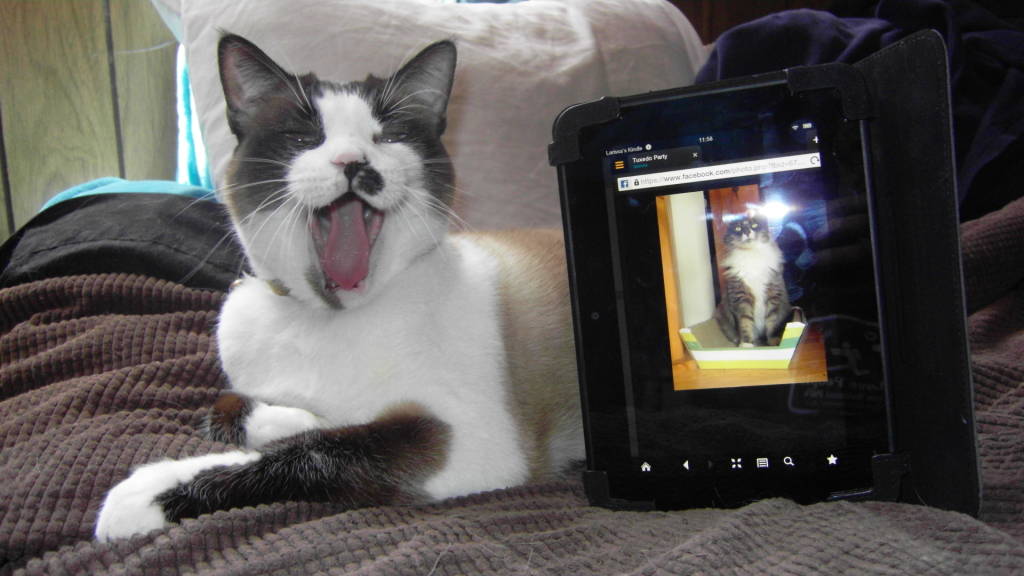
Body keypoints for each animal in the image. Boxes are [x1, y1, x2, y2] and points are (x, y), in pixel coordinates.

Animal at [94, 34, 582, 541]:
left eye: (388, 138)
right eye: (304, 139)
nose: (354, 164)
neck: (325, 316)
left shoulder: (468, 442)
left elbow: (321, 452)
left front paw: (145, 496)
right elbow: (272, 418)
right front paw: (274, 419)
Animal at [713, 208, 791, 348]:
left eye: (754, 225)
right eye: (738, 228)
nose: (747, 231)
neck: (751, 255)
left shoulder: (773, 295)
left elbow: (772, 323)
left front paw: (774, 344)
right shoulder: (740, 297)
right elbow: (745, 323)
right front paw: (746, 345)